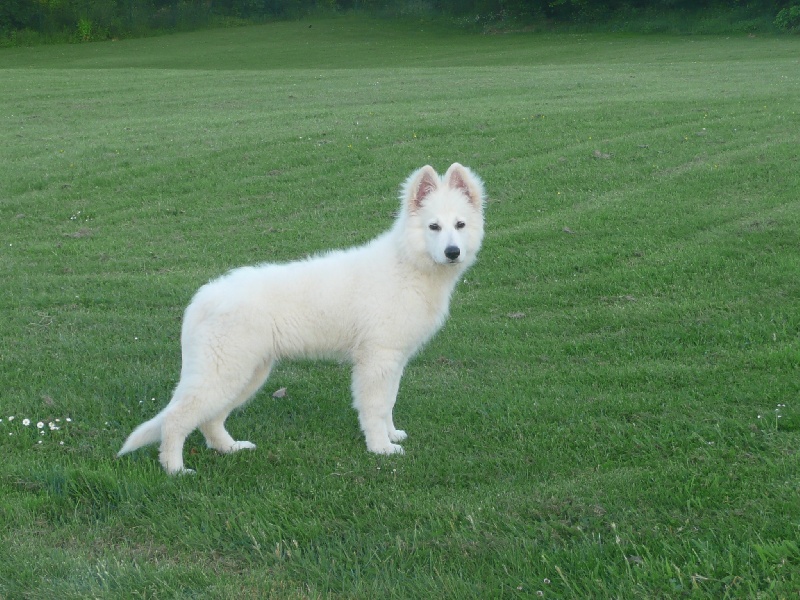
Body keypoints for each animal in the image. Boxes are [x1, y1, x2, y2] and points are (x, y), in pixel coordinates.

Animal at [118, 163, 485, 474]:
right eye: (433, 227)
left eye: (460, 225)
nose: (453, 253)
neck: (408, 264)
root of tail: (203, 297)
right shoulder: (377, 359)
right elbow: (375, 407)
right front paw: (380, 448)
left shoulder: (392, 360)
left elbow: (389, 402)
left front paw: (391, 435)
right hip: (224, 372)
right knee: (177, 419)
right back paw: (175, 470)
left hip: (247, 373)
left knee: (210, 419)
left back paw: (231, 449)